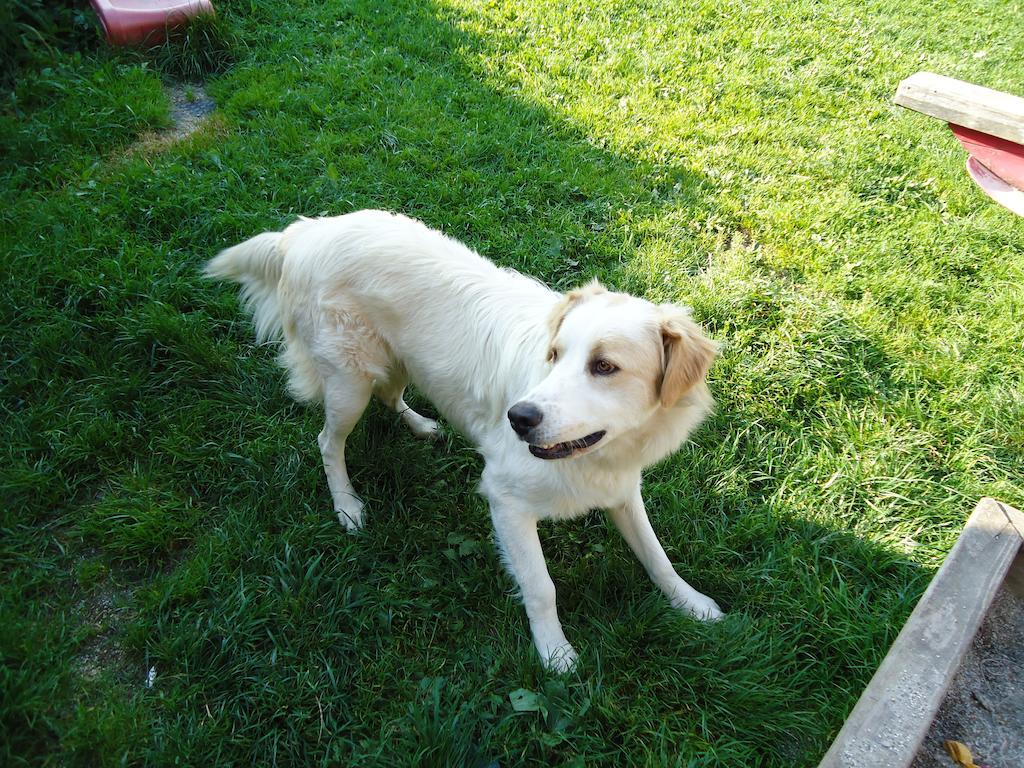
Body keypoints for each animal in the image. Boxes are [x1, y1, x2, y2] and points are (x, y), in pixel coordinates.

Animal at [205, 210, 720, 671]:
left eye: (605, 367)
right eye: (554, 356)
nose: (518, 418)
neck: (600, 452)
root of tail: (308, 231)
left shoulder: (622, 489)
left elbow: (657, 556)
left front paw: (692, 604)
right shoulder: (506, 500)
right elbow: (541, 586)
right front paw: (555, 655)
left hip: (404, 362)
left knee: (391, 397)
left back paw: (422, 426)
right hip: (349, 385)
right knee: (328, 442)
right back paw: (347, 506)